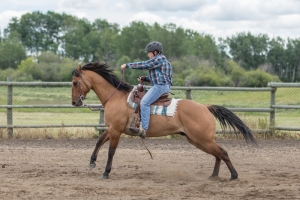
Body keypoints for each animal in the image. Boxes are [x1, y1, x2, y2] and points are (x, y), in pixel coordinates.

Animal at [71, 61, 256, 180]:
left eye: (74, 82)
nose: (75, 103)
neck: (115, 97)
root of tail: (205, 107)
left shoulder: (116, 130)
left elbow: (111, 151)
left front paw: (106, 172)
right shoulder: (112, 129)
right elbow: (99, 142)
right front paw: (92, 163)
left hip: (202, 139)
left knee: (222, 152)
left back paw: (233, 176)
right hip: (198, 140)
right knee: (217, 154)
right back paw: (214, 176)